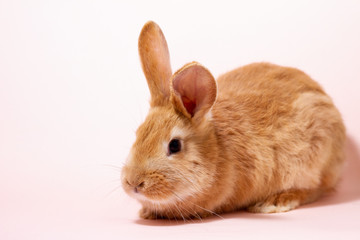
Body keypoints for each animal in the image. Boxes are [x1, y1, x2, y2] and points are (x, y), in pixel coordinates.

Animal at [121, 21, 346, 219]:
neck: (219, 149)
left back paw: (274, 202)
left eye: (174, 145)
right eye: (138, 134)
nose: (133, 183)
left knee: (314, 189)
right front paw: (147, 212)